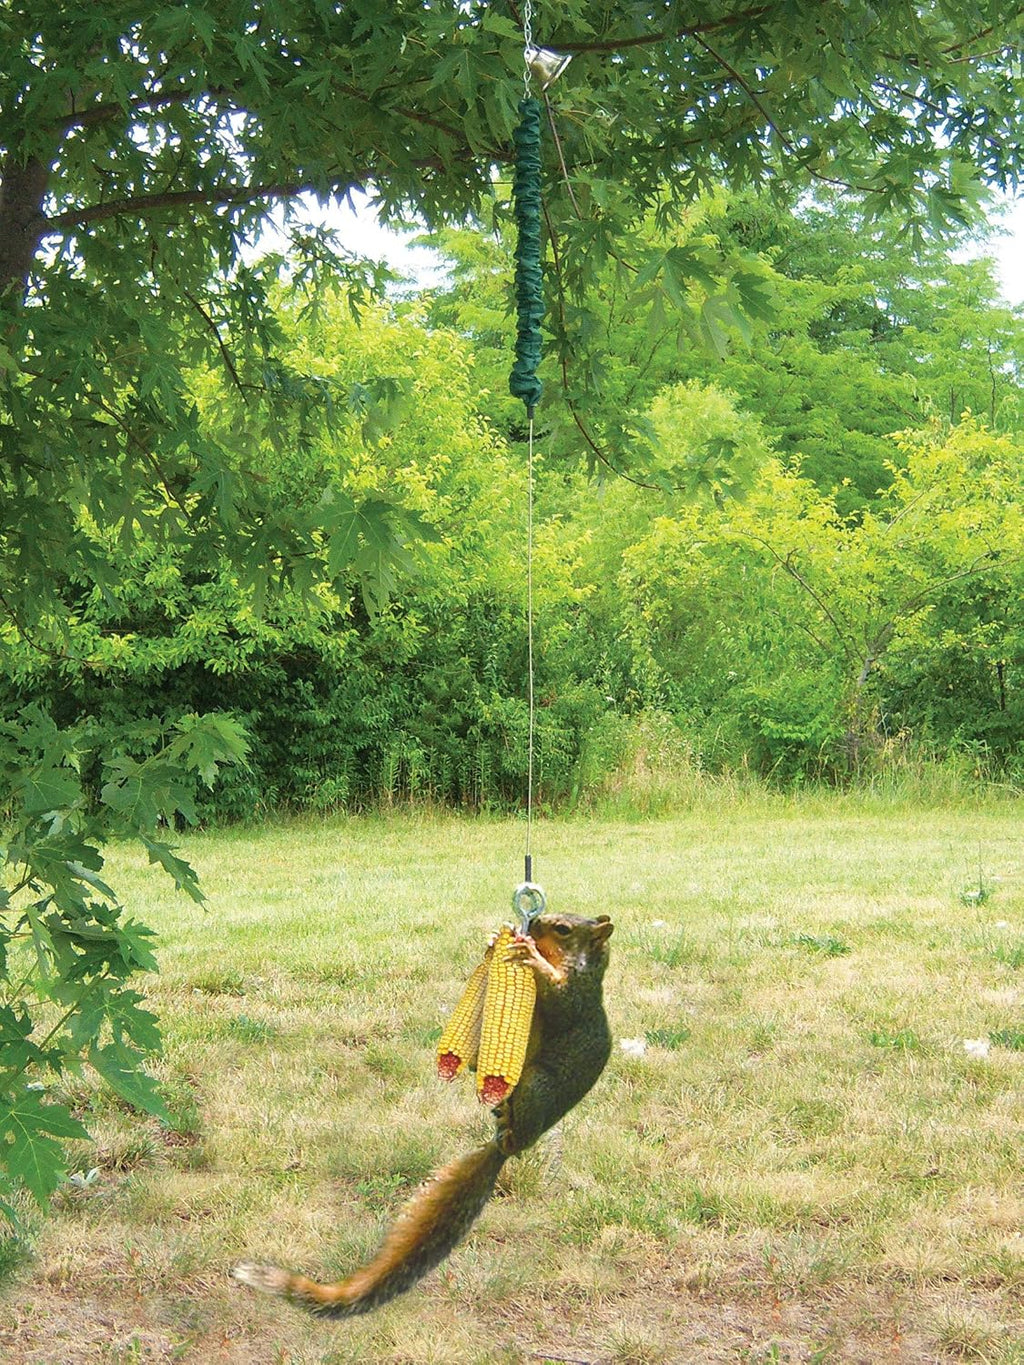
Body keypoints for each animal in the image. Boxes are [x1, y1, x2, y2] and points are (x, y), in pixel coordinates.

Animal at [231, 910, 613, 1317]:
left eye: (563, 929)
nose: (535, 921)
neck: (581, 964)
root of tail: (505, 1148)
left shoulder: (578, 997)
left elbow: (559, 1000)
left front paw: (530, 955)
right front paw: (496, 942)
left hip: (537, 1086)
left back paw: (511, 1128)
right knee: (481, 1069)